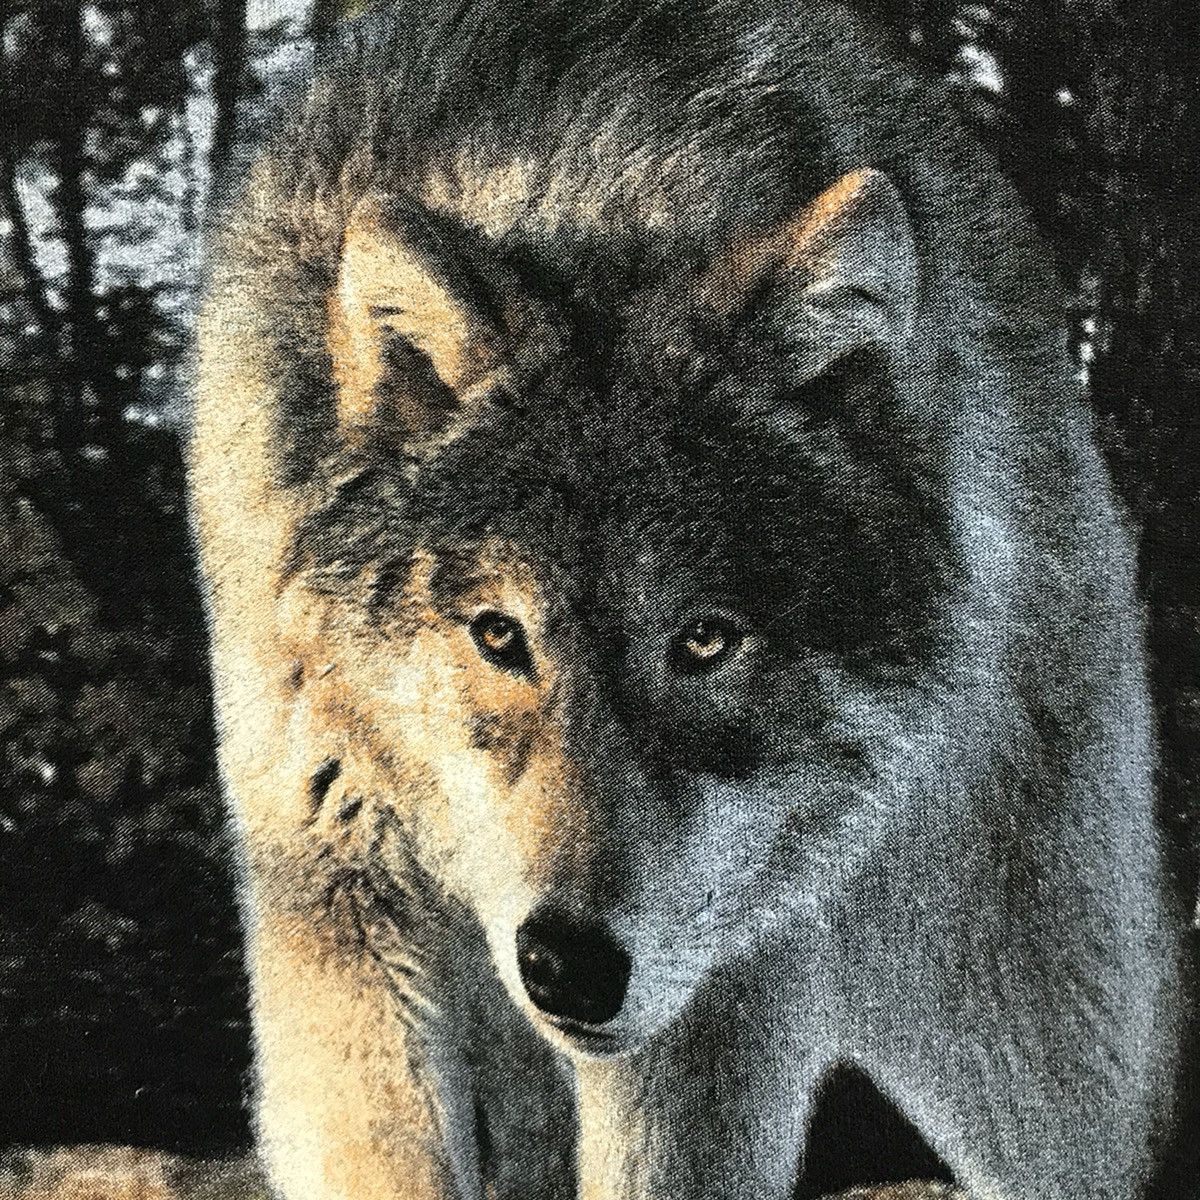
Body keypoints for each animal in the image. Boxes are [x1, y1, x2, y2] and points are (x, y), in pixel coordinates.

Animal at [188, 1, 1184, 1198]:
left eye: (705, 641)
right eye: (497, 634)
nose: (567, 966)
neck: (583, 188)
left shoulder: (719, 978)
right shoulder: (334, 899)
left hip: (1015, 1044)